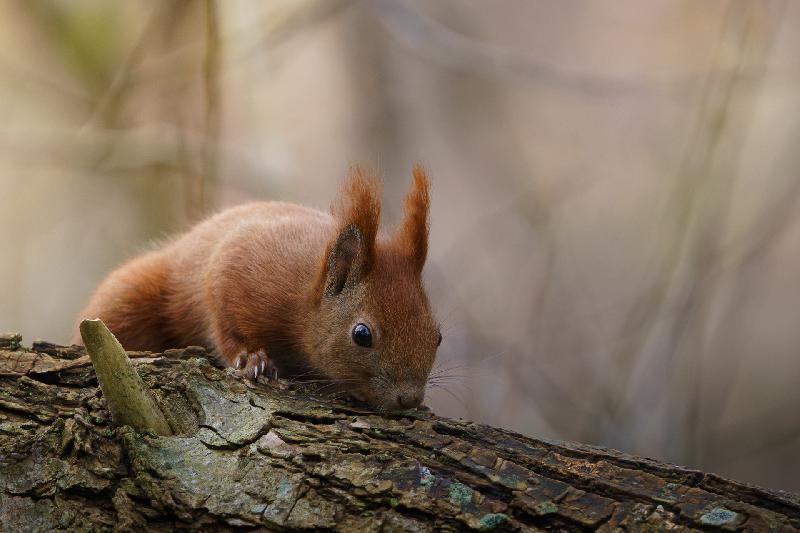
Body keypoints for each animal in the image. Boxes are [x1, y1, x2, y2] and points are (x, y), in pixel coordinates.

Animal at [72, 166, 441, 410]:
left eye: (437, 336)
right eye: (362, 335)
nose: (410, 399)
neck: (304, 296)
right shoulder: (239, 265)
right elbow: (223, 317)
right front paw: (251, 358)